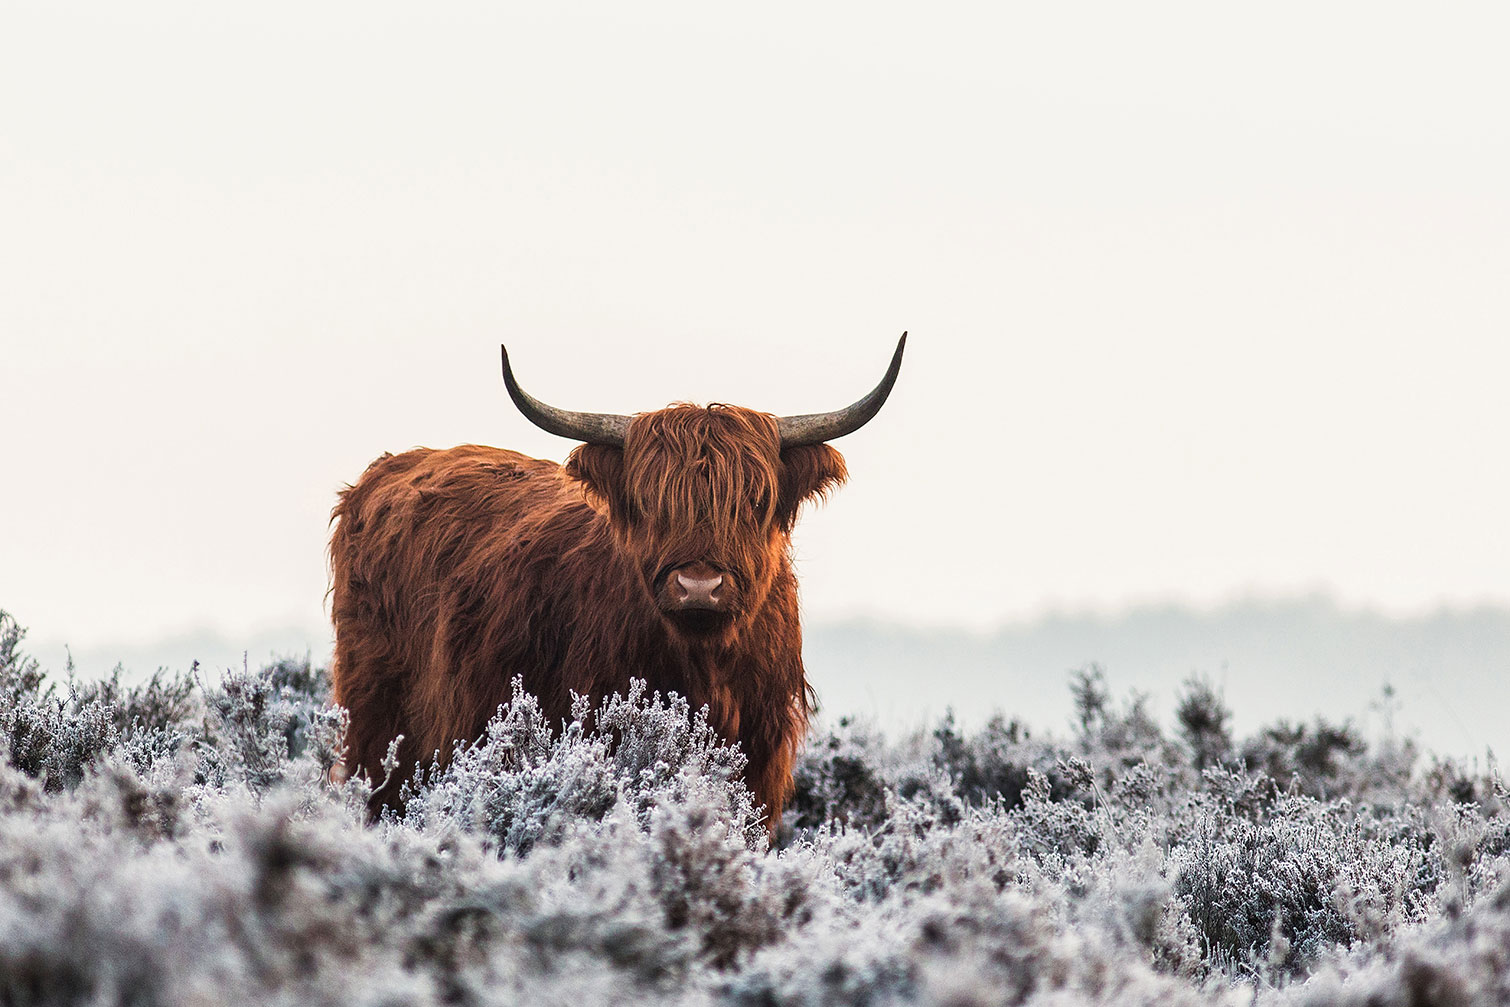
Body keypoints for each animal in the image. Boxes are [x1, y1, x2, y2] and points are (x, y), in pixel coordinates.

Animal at [328, 334, 906, 827]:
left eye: (756, 501)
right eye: (650, 501)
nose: (699, 585)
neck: (703, 665)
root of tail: (387, 470)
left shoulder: (760, 762)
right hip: (378, 723)